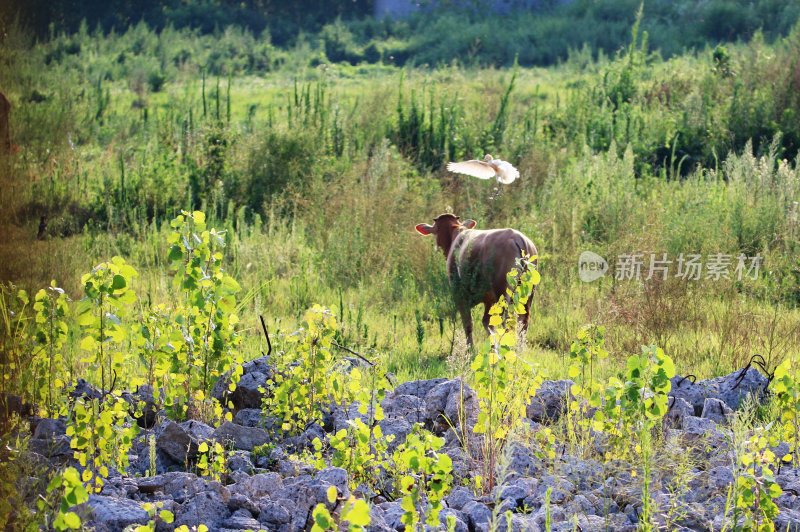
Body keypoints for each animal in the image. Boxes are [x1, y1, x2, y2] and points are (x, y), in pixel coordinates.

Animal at [418, 214, 536, 348]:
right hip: (528, 293)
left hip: (503, 291)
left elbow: (468, 323)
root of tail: (517, 237)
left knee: (507, 321)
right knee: (524, 321)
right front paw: (492, 346)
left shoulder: (459, 294)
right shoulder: (488, 298)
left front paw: (470, 348)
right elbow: (488, 323)